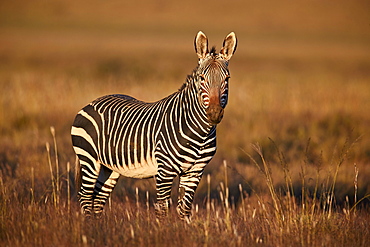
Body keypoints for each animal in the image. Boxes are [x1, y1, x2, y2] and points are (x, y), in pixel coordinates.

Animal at [70, 31, 237, 220]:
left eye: (227, 79)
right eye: (202, 78)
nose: (214, 113)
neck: (199, 133)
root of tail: (91, 102)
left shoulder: (195, 171)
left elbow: (185, 209)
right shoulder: (165, 171)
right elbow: (162, 209)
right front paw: (161, 228)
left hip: (109, 167)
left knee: (98, 199)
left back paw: (98, 225)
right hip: (89, 159)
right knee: (85, 196)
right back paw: (89, 225)